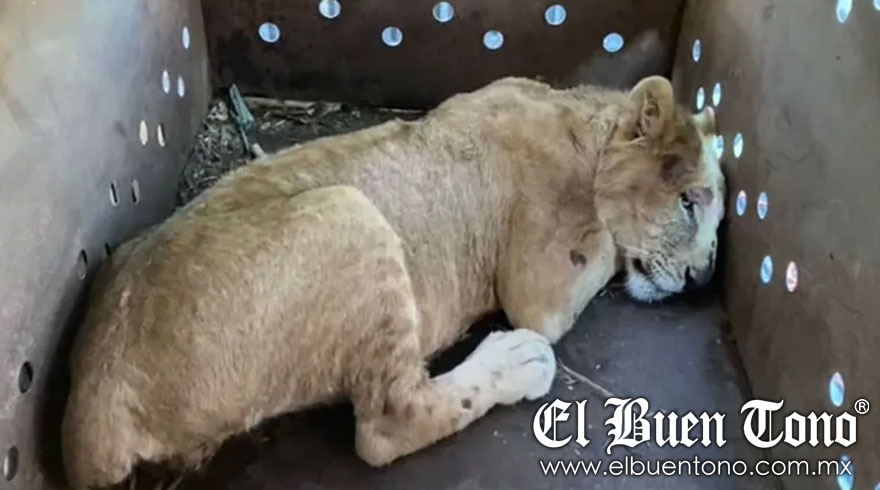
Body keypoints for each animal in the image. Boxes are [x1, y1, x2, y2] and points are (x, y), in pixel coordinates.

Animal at [61, 75, 723, 489]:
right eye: (690, 202)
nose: (701, 279)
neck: (583, 120)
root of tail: (96, 394)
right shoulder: (543, 287)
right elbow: (607, 246)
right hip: (347, 214)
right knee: (387, 425)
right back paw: (516, 360)